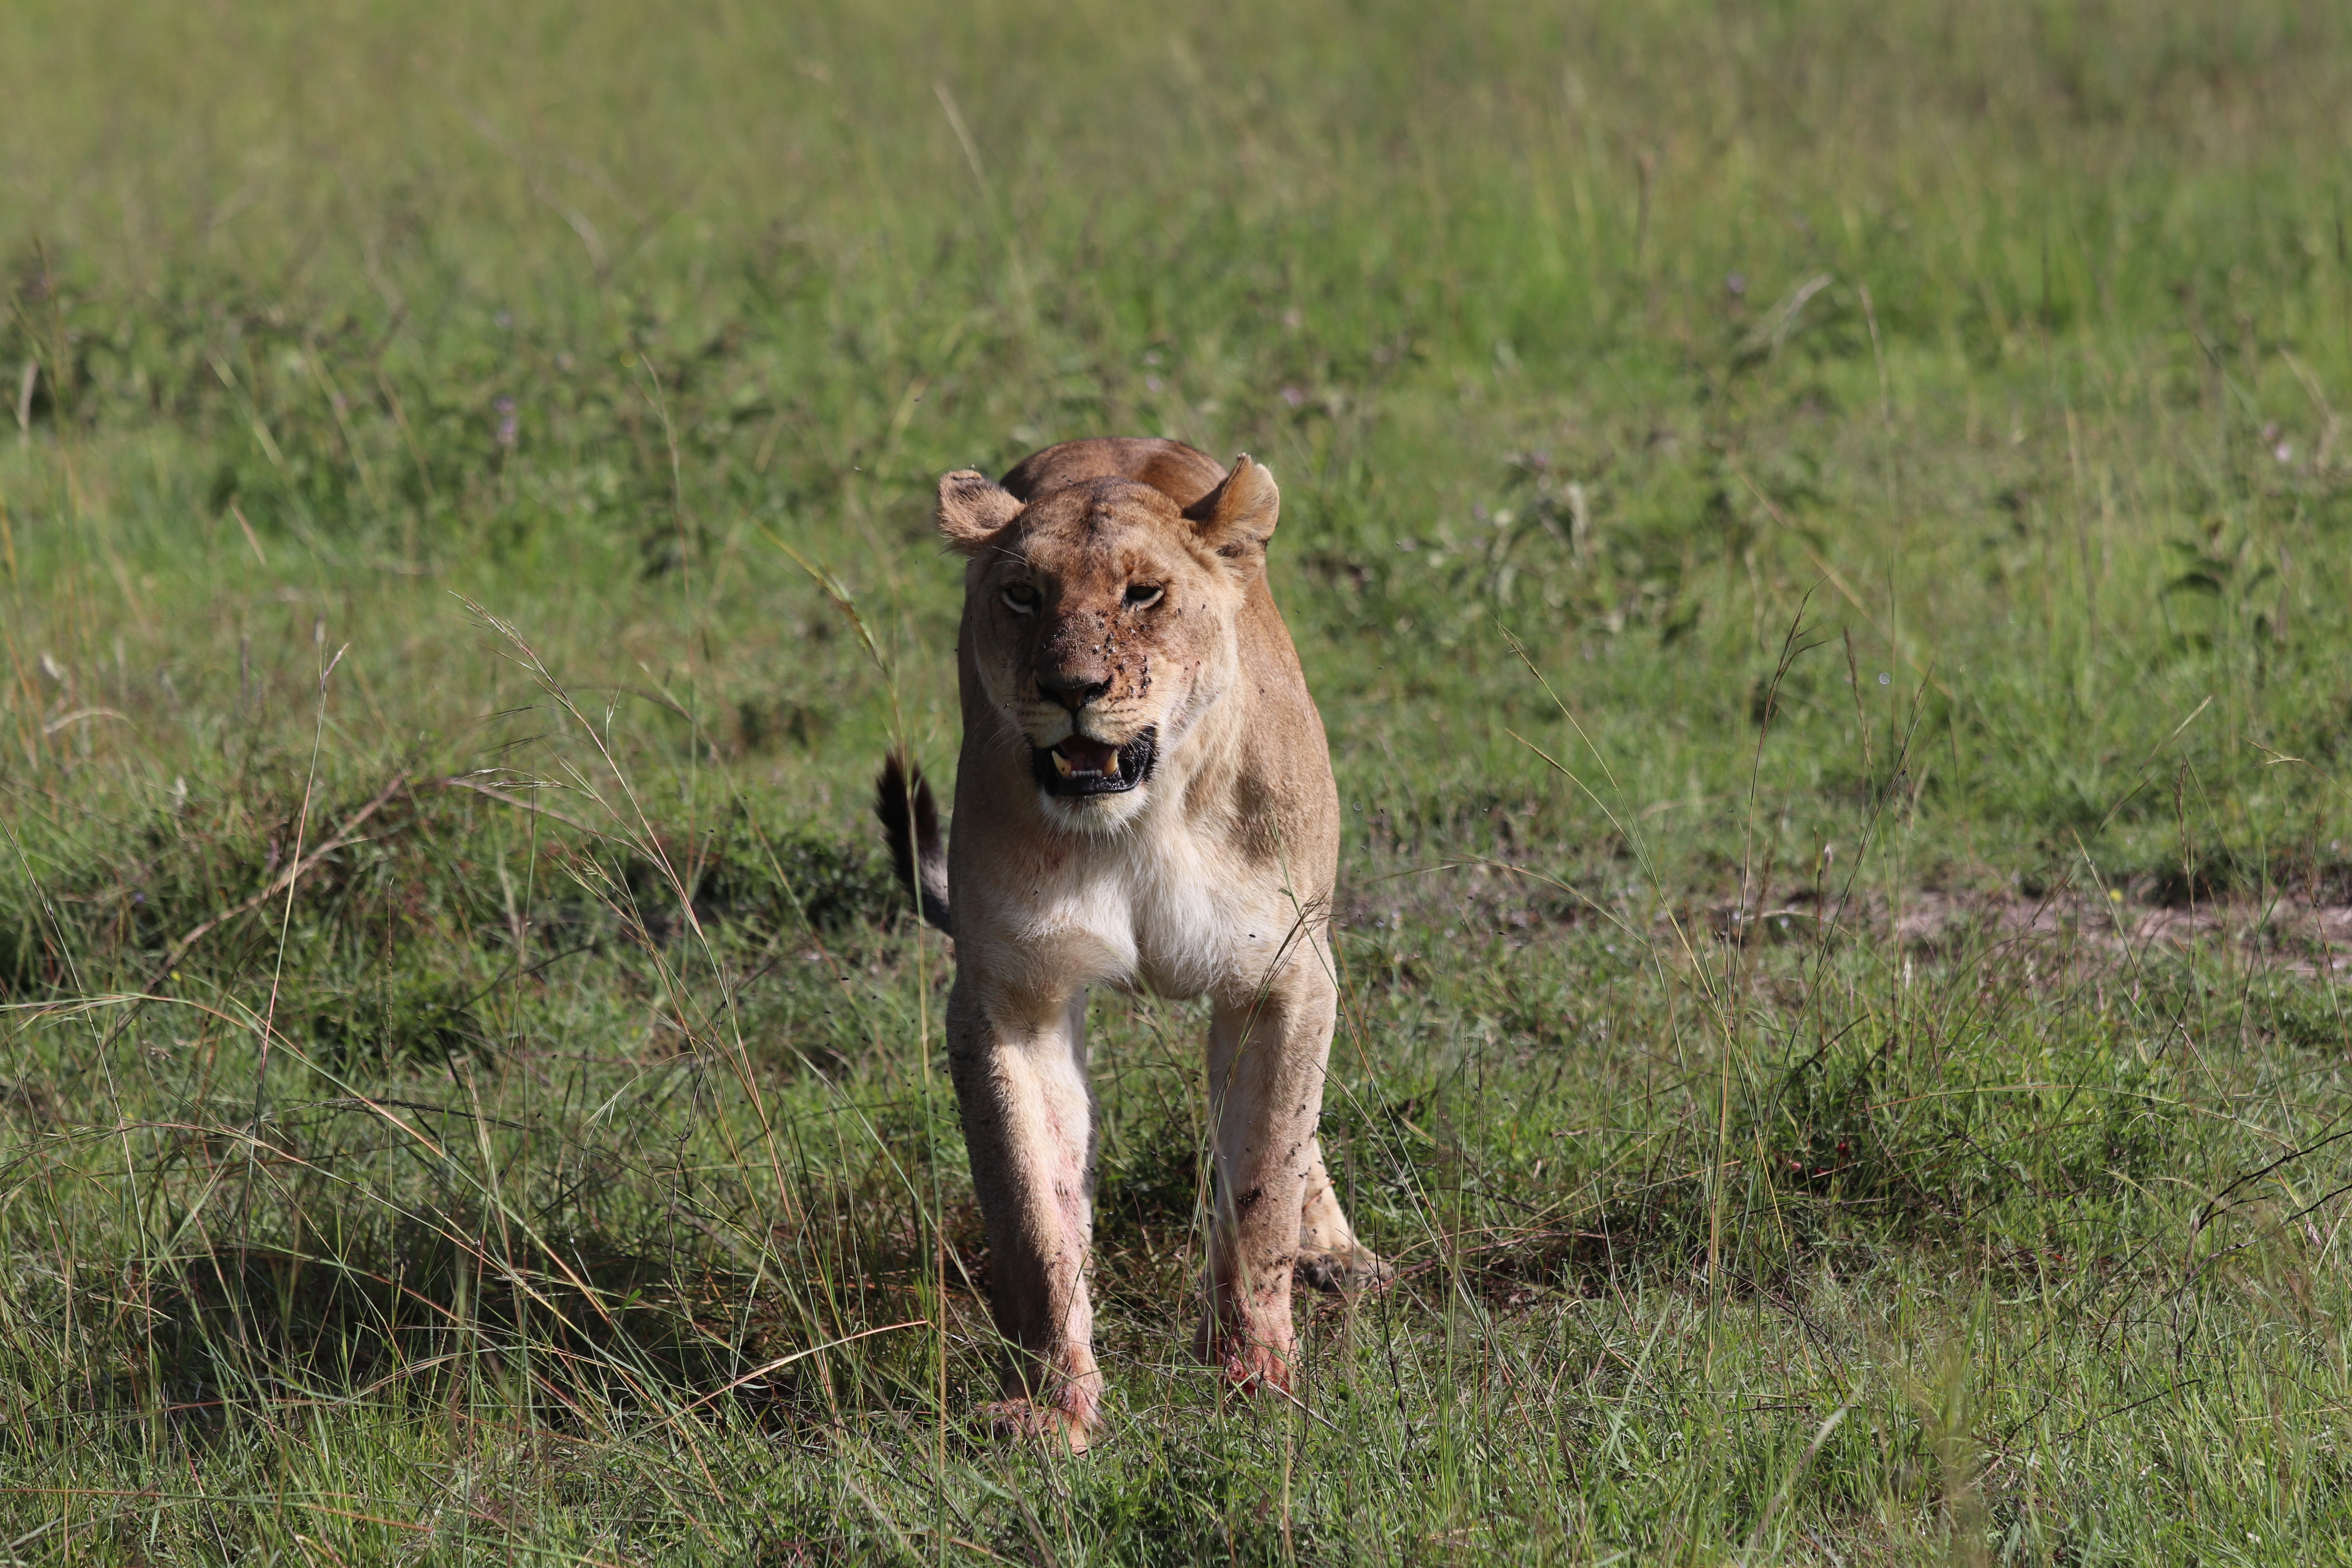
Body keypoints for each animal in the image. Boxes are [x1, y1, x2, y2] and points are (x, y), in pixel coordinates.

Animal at [875, 436, 1386, 1450]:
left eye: (1144, 593)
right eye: (1022, 595)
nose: (1072, 689)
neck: (1140, 820)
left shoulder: (1286, 971)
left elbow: (1264, 1180)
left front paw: (1256, 1379)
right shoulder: (1010, 993)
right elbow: (1033, 1214)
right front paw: (1054, 1406)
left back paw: (1339, 1257)